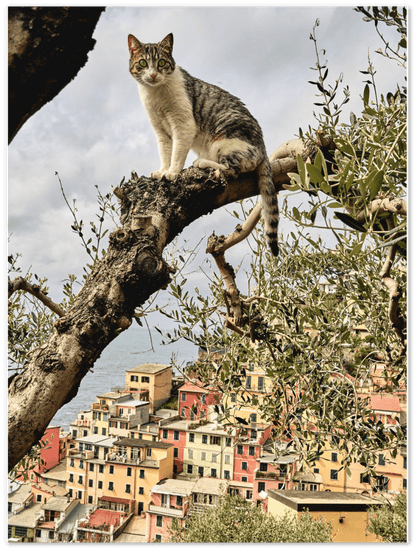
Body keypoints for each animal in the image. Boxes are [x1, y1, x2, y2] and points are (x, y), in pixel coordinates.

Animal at [127, 33, 280, 258]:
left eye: (161, 63)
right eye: (143, 63)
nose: (153, 75)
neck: (156, 96)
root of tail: (263, 149)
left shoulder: (183, 126)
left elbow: (177, 153)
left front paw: (172, 173)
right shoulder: (161, 132)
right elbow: (165, 153)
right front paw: (162, 170)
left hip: (222, 140)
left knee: (232, 169)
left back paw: (202, 163)